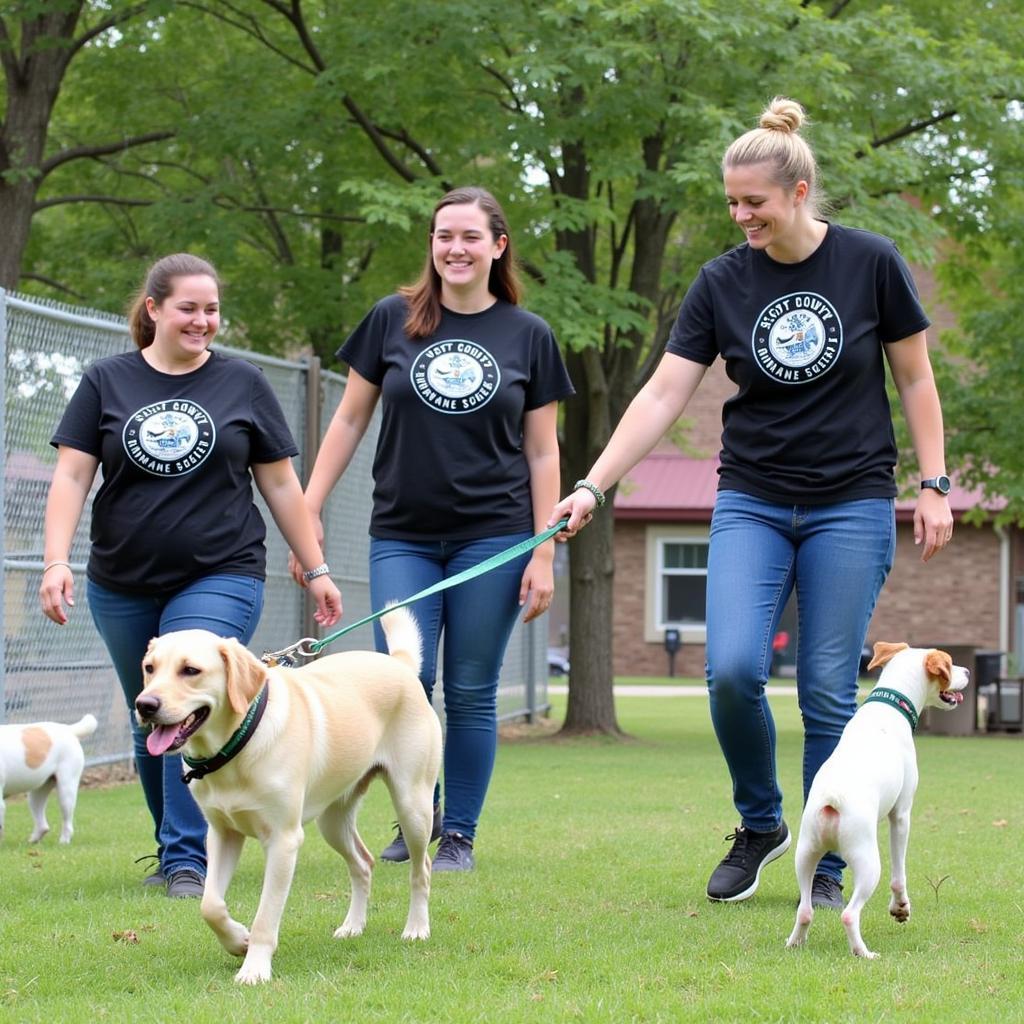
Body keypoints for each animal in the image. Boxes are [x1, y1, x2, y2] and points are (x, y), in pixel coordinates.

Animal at [0, 712, 97, 847]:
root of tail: (69, 729)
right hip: (36, 796)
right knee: (43, 826)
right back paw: (32, 841)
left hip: (66, 792)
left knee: (67, 823)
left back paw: (63, 842)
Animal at [135, 606, 440, 983]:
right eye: (150, 668)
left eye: (190, 670)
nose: (144, 704)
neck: (238, 743)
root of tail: (398, 664)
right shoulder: (222, 834)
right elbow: (210, 906)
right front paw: (238, 940)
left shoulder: (283, 841)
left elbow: (266, 918)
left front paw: (254, 968)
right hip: (333, 820)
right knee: (363, 864)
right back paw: (353, 926)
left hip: (412, 806)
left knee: (421, 867)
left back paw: (416, 928)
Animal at [790, 643, 966, 954]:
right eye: (951, 664)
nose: (967, 671)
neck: (891, 705)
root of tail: (833, 800)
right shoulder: (901, 816)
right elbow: (899, 875)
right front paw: (900, 908)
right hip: (868, 863)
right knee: (849, 914)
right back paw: (863, 952)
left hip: (806, 854)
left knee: (806, 910)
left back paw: (795, 941)